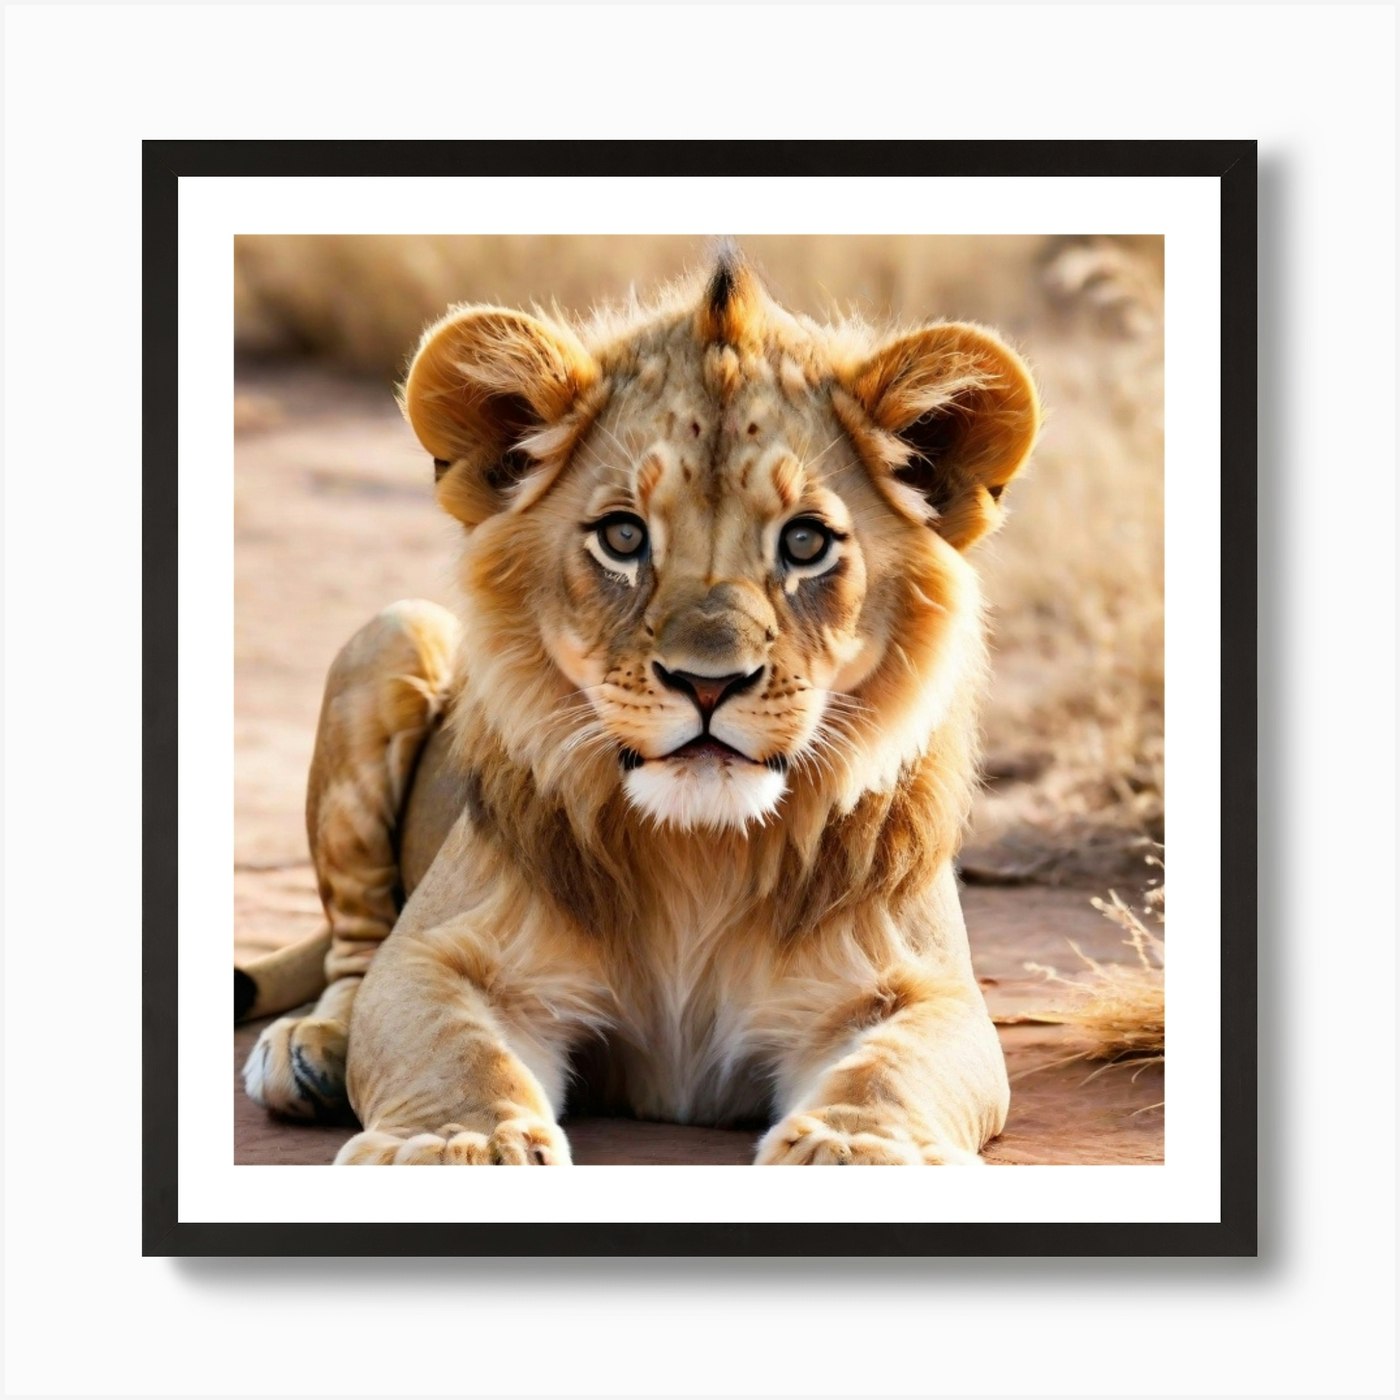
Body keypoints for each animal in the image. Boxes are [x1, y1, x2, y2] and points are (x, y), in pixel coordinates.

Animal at [239, 249, 1040, 1165]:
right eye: (623, 537)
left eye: (805, 542)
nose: (708, 682)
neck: (701, 856)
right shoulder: (437, 952)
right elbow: (451, 1043)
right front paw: (461, 1142)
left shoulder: (928, 987)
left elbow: (892, 1067)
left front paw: (854, 1150)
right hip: (394, 633)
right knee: (355, 951)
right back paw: (315, 1051)